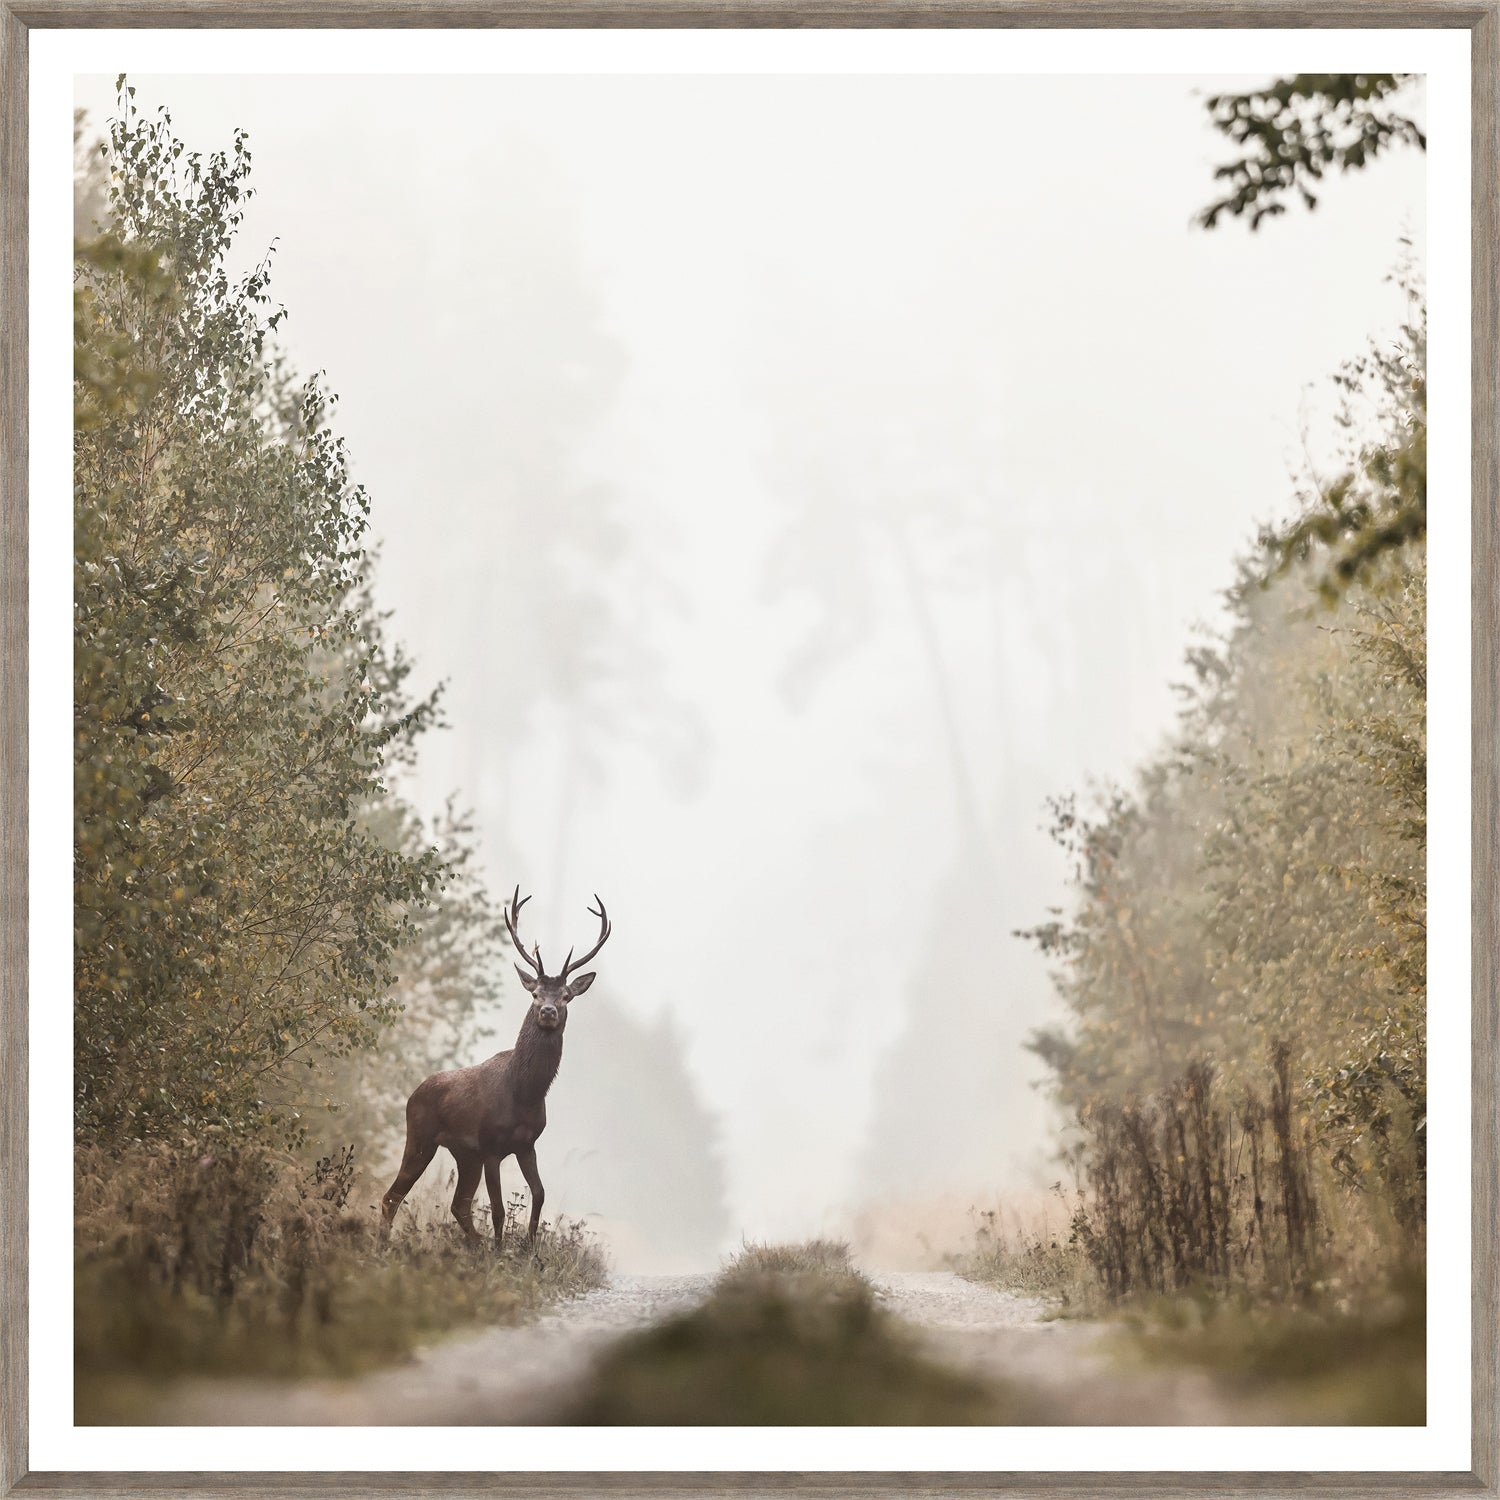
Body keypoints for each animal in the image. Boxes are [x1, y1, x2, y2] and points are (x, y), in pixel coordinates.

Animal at [380, 887, 611, 1248]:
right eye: (535, 993)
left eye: (566, 996)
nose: (547, 1011)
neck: (525, 1094)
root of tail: (413, 1092)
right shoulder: (490, 1146)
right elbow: (500, 1209)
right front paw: (501, 1250)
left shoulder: (526, 1145)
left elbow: (539, 1195)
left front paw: (528, 1249)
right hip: (421, 1134)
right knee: (394, 1196)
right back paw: (386, 1244)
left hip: (464, 1154)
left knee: (458, 1205)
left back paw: (474, 1245)